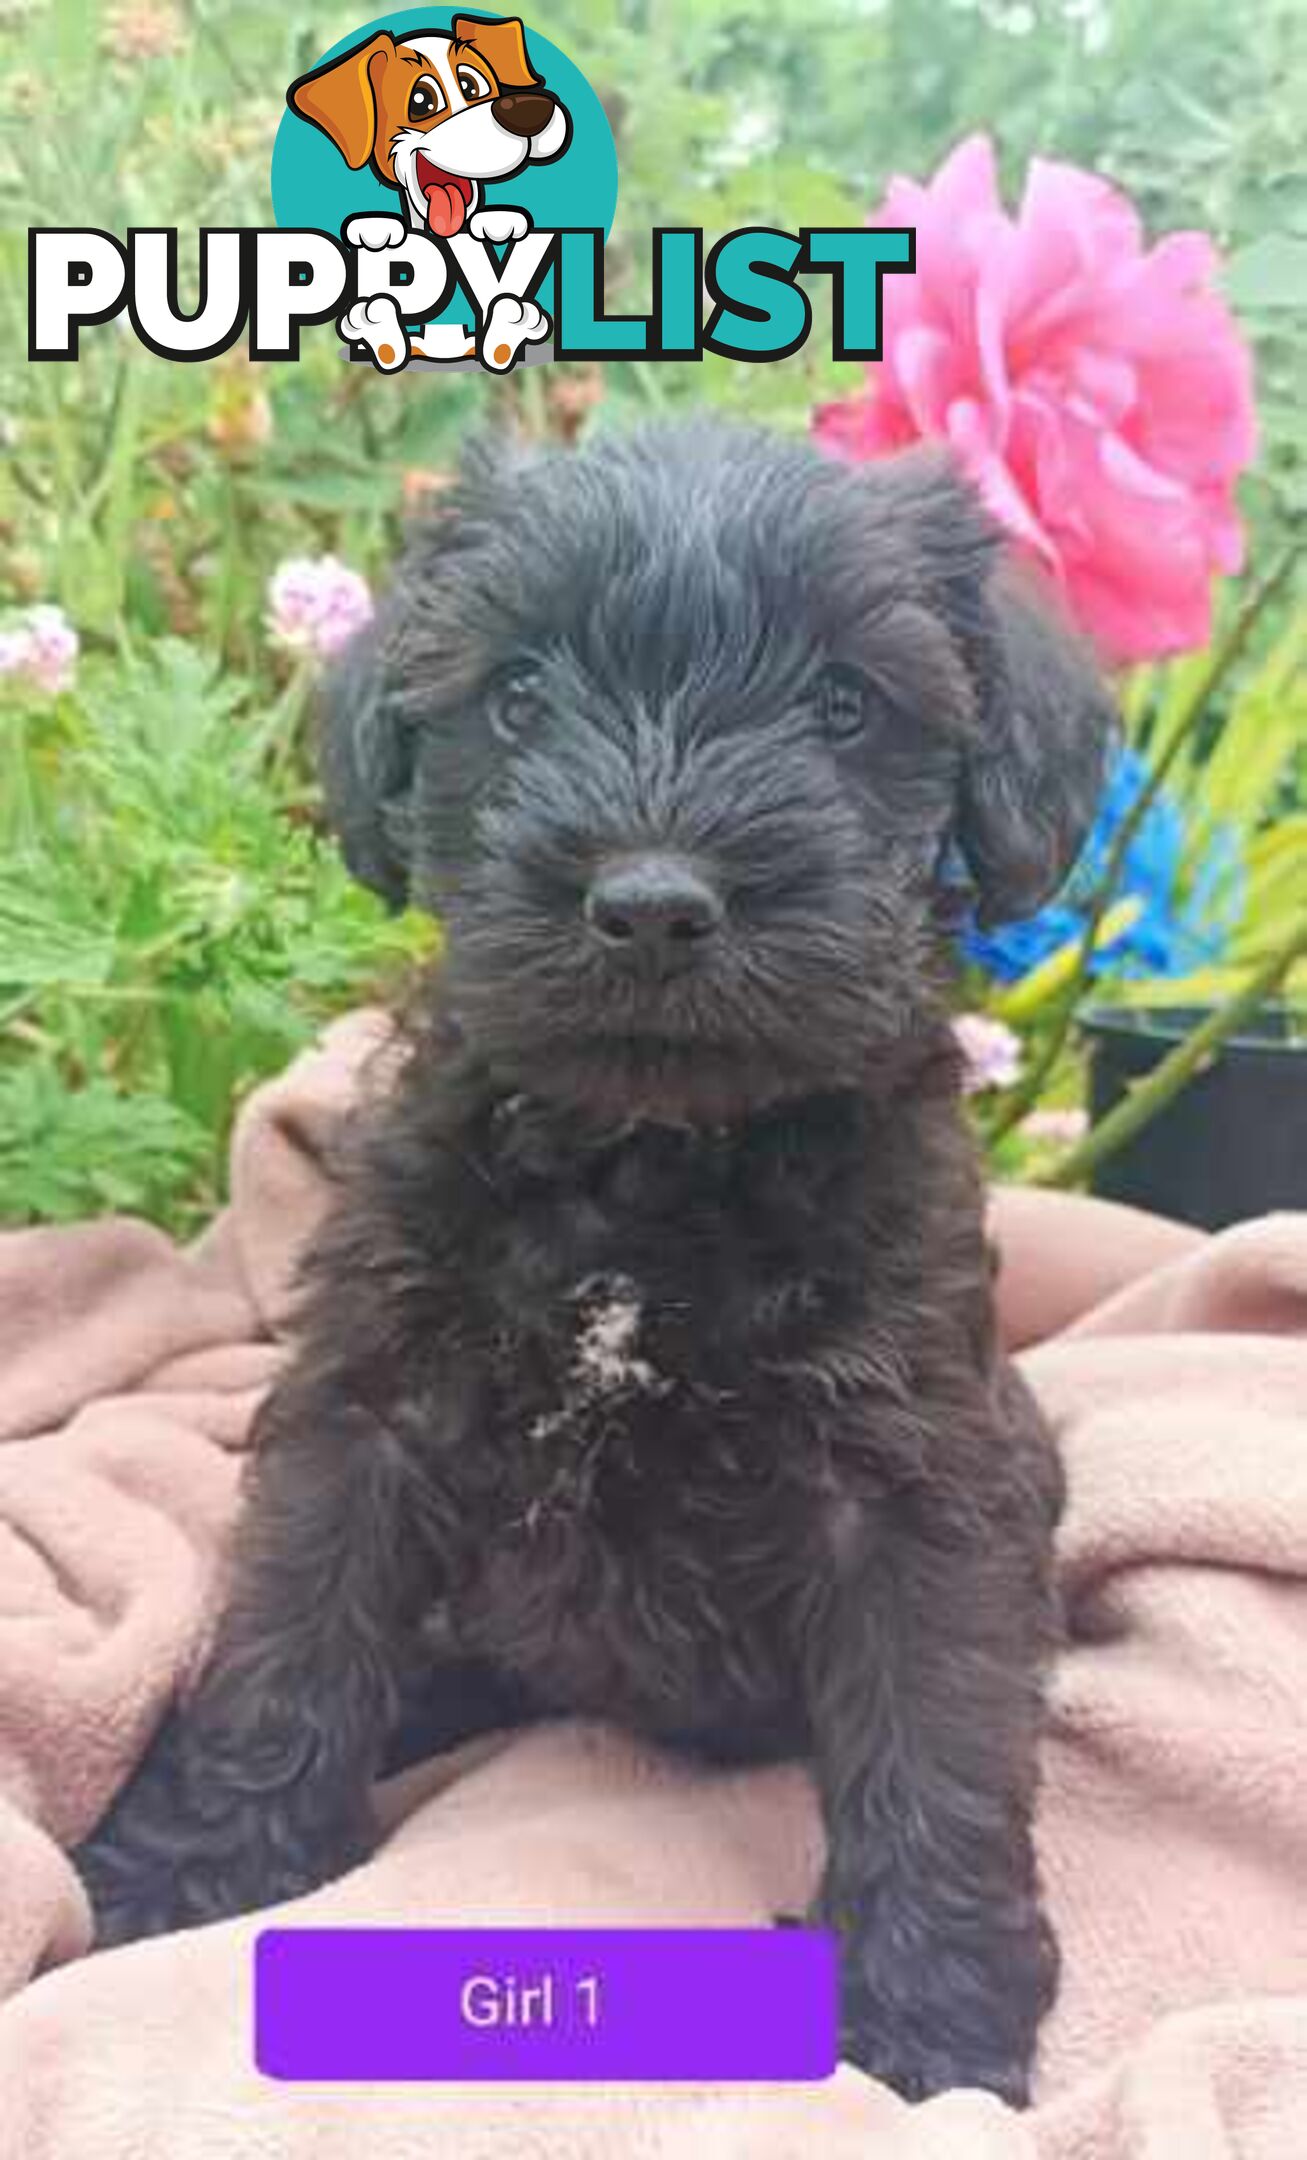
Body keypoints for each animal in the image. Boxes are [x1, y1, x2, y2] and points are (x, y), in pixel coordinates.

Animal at [76, 421, 1106, 2108]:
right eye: (515, 694)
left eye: (843, 704)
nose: (651, 904)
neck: (649, 1167)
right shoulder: (374, 1408)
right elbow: (289, 1641)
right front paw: (185, 1877)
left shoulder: (910, 1482)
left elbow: (933, 1739)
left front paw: (928, 2028)